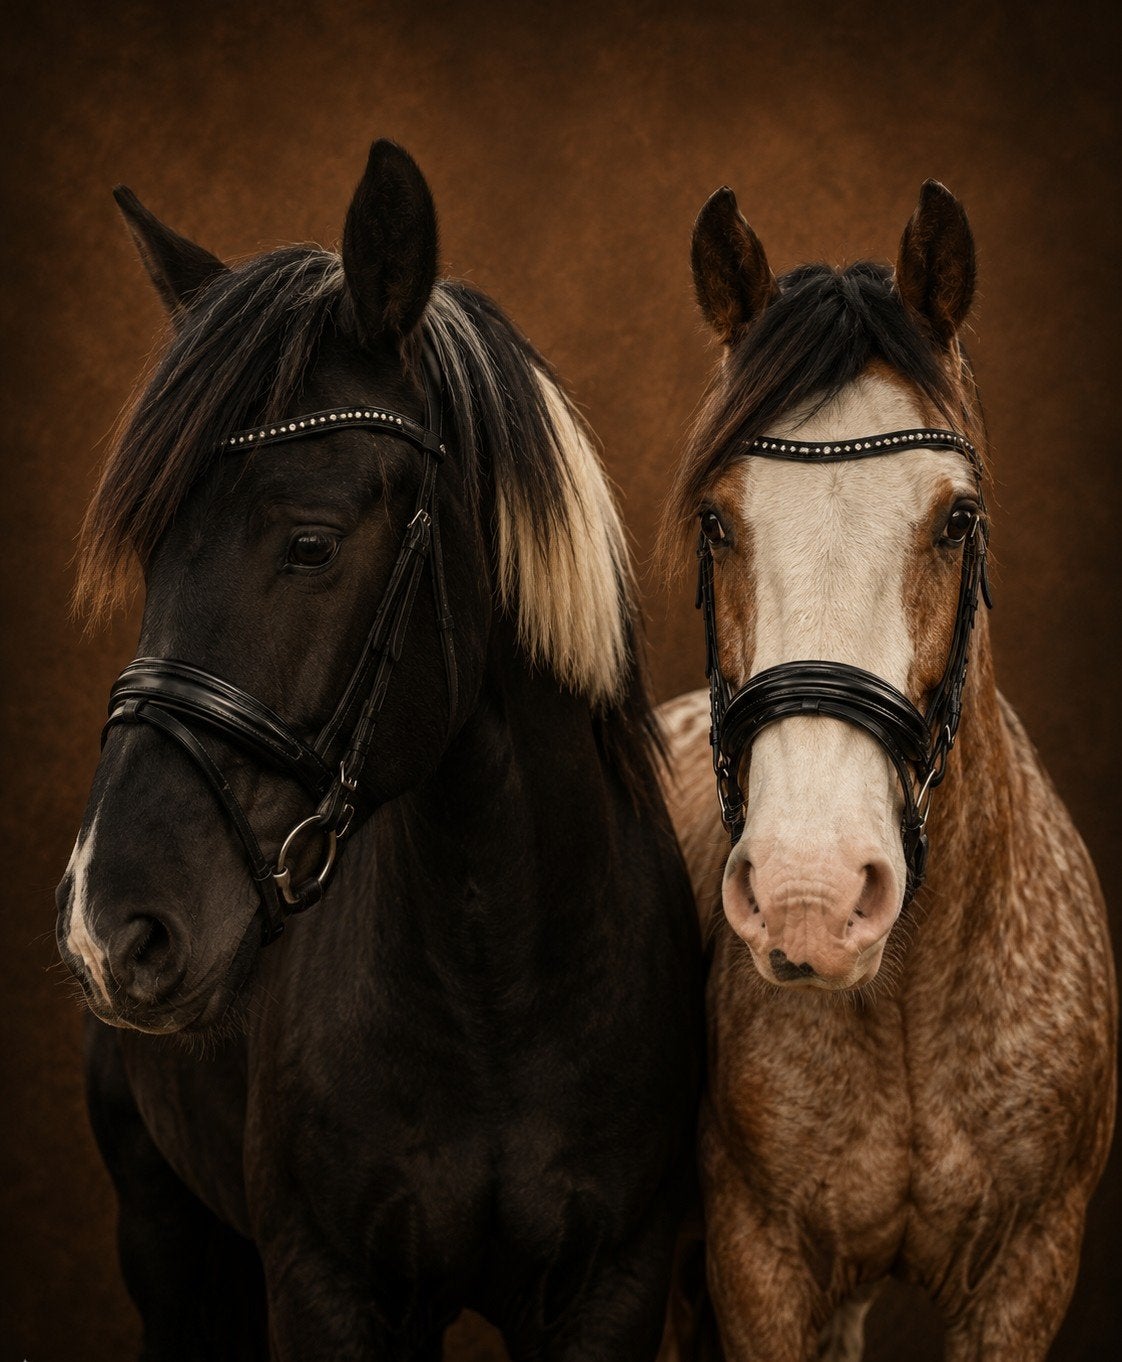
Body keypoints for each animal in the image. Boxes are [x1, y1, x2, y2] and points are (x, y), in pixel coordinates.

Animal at [55, 138, 703, 1361]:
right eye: (154, 553)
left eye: (311, 544)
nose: (110, 930)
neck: (501, 981)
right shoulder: (326, 1288)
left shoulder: (617, 1285)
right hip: (159, 1228)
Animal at [656, 180, 1116, 1361]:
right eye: (717, 521)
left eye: (957, 518)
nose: (809, 896)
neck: (910, 994)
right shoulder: (762, 1270)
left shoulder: (1027, 1272)